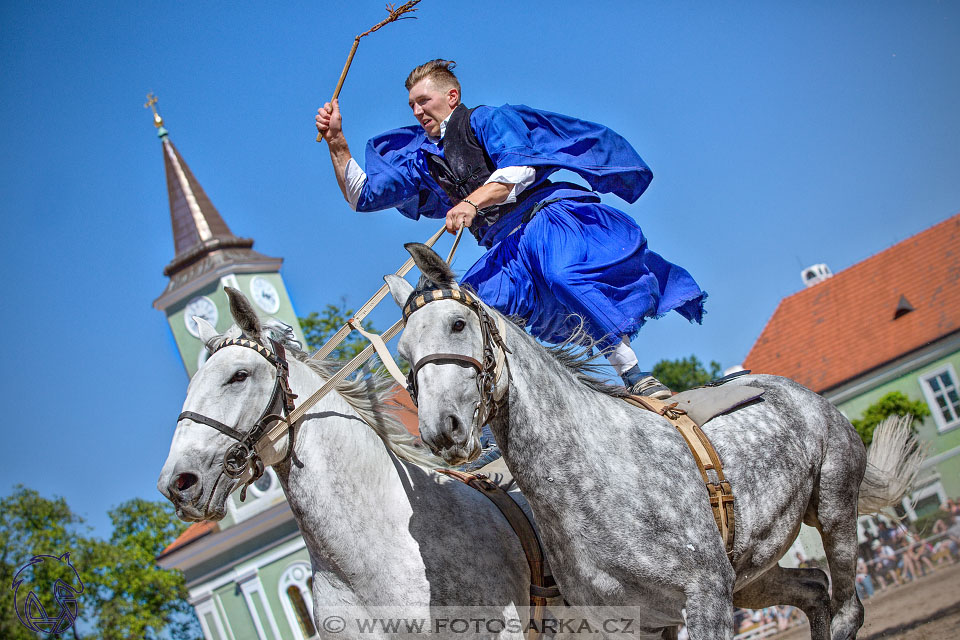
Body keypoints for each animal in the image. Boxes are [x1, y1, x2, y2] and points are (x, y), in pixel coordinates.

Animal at [382, 244, 924, 640]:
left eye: (457, 324)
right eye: (405, 350)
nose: (443, 430)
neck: (596, 476)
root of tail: (802, 393)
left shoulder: (706, 600)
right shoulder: (630, 622)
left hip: (834, 512)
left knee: (845, 610)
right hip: (753, 573)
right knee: (813, 589)